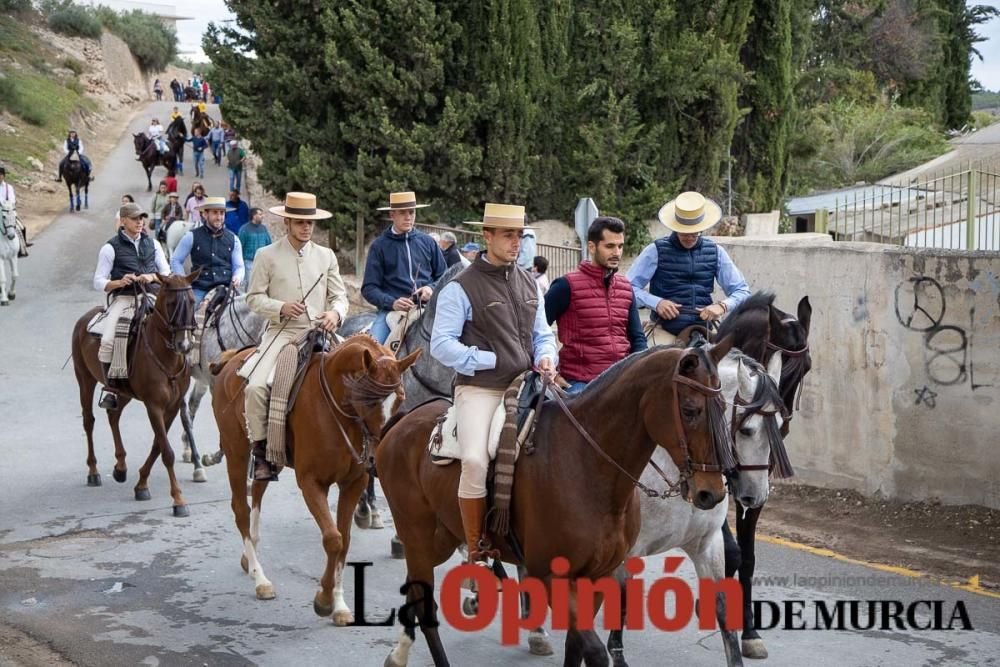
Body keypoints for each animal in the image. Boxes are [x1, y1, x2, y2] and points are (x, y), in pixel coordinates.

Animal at [70, 272, 199, 516]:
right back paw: (93, 472)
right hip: (84, 379)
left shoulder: (172, 407)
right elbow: (166, 451)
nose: (184, 344)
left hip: (123, 392)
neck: (166, 356)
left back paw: (120, 468)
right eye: (171, 303)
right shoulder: (154, 406)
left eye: (192, 301)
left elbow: (158, 445)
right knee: (88, 422)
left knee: (114, 416)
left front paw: (141, 485)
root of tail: (85, 318)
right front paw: (178, 500)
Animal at [212, 334, 422, 616]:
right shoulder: (311, 483)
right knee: (241, 509)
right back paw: (260, 578)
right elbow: (333, 539)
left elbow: (344, 541)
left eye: (400, 398)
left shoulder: (353, 484)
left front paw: (340, 605)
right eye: (369, 400)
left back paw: (251, 555)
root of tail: (231, 359)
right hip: (236, 450)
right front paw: (324, 599)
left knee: (257, 490)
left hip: (271, 456)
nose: (376, 458)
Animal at [376, 342, 736, 664]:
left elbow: (575, 647)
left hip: (441, 538)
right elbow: (593, 651)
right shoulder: (552, 576)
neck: (587, 464)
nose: (713, 492)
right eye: (690, 410)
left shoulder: (598, 575)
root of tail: (403, 421)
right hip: (417, 535)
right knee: (423, 603)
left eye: (723, 407)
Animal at [600, 348, 788, 664]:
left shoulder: (707, 544)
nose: (756, 496)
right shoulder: (628, 552)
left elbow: (725, 611)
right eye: (748, 431)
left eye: (780, 428)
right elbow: (621, 609)